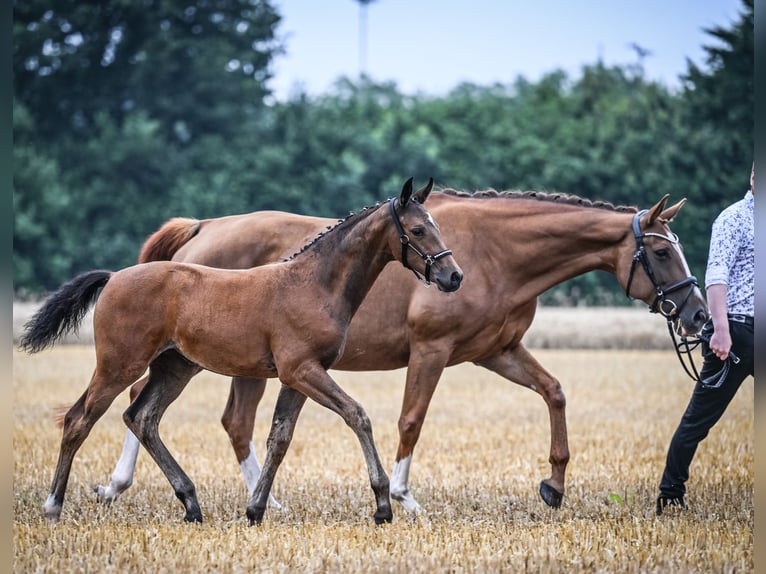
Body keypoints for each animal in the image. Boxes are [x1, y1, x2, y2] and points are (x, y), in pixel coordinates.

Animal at [21, 180, 464, 528]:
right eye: (418, 229)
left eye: (438, 227)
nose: (454, 276)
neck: (314, 284)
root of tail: (113, 277)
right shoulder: (302, 370)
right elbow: (358, 415)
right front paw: (382, 505)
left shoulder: (299, 376)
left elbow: (279, 438)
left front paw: (255, 509)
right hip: (119, 365)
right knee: (80, 419)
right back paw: (53, 507)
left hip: (175, 368)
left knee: (142, 417)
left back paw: (191, 503)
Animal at [94, 190, 708, 516]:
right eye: (660, 252)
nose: (700, 316)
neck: (495, 252)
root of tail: (201, 228)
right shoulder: (432, 351)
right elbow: (411, 419)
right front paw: (402, 496)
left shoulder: (499, 351)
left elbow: (554, 392)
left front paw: (554, 485)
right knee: (146, 401)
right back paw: (121, 485)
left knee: (223, 420)